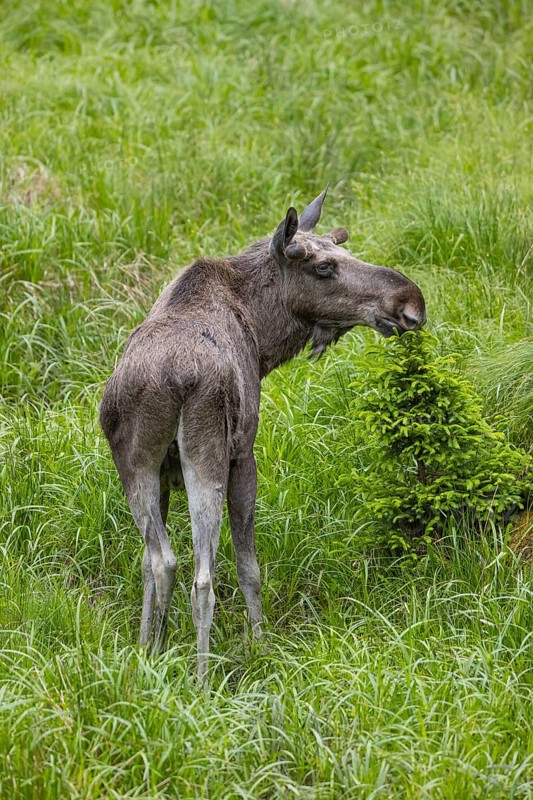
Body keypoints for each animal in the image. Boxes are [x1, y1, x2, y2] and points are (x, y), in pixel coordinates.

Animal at [100, 187, 426, 678]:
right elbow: (248, 567)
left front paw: (150, 649)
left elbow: (143, 565)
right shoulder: (244, 454)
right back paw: (202, 680)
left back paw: (152, 663)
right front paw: (260, 644)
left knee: (159, 561)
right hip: (208, 455)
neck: (262, 336)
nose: (410, 303)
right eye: (323, 266)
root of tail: (169, 379)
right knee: (201, 576)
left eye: (345, 249)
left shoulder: (161, 474)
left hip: (134, 464)